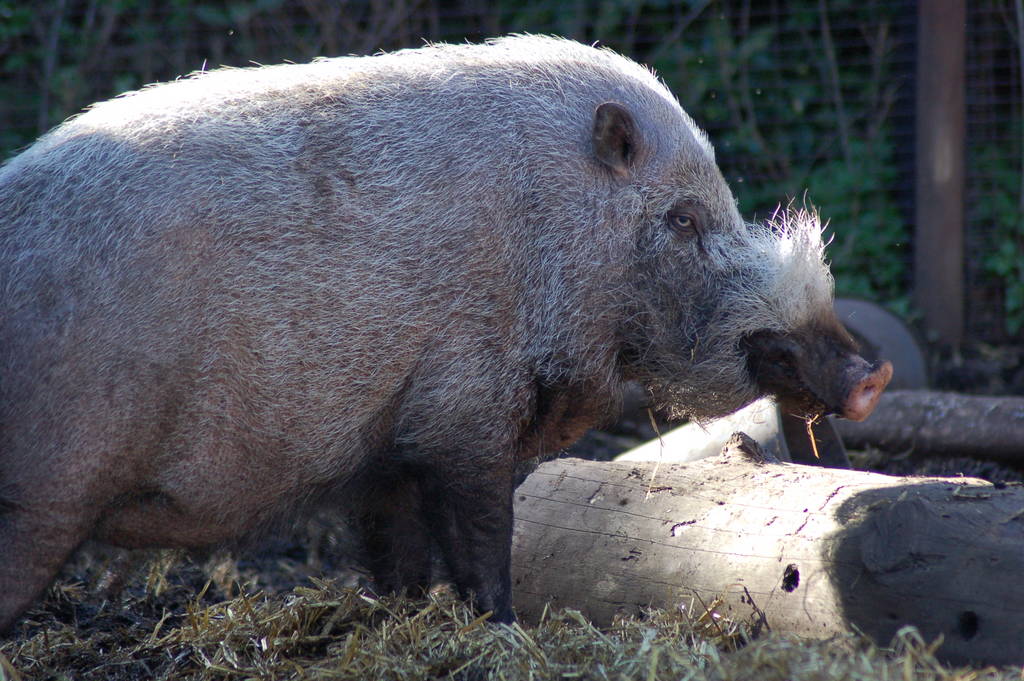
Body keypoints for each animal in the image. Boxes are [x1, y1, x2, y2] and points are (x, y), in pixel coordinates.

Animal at [0, 35, 891, 630]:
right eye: (682, 218)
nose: (872, 376)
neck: (551, 234)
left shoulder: (385, 448)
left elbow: (397, 555)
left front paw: (402, 620)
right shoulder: (463, 410)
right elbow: (485, 535)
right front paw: (503, 630)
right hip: (45, 488)